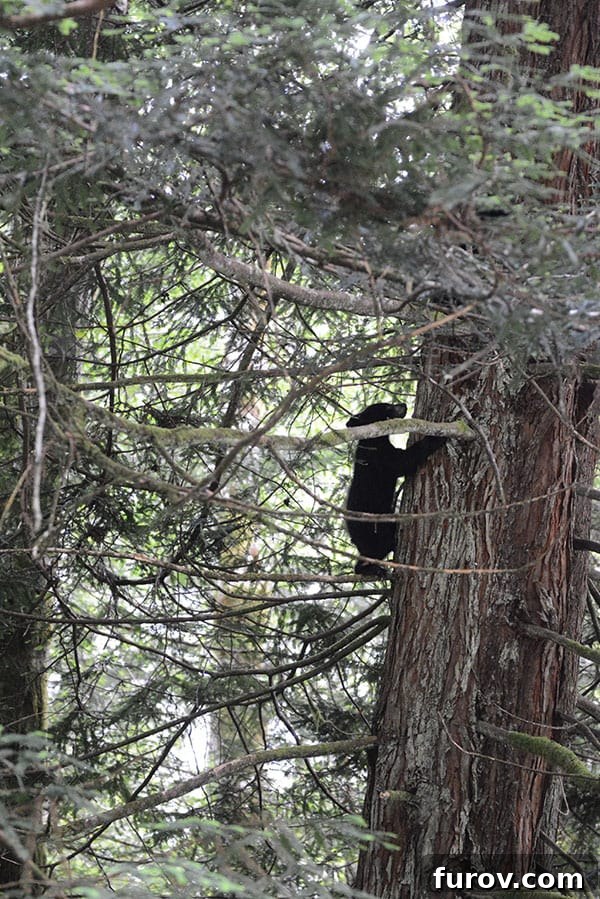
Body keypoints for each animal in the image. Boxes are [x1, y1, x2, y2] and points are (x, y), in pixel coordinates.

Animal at [345, 401, 447, 577]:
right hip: (374, 528)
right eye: (386, 407)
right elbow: (405, 461)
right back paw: (373, 569)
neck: (373, 441)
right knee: (376, 549)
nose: (403, 404)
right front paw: (438, 437)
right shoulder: (382, 458)